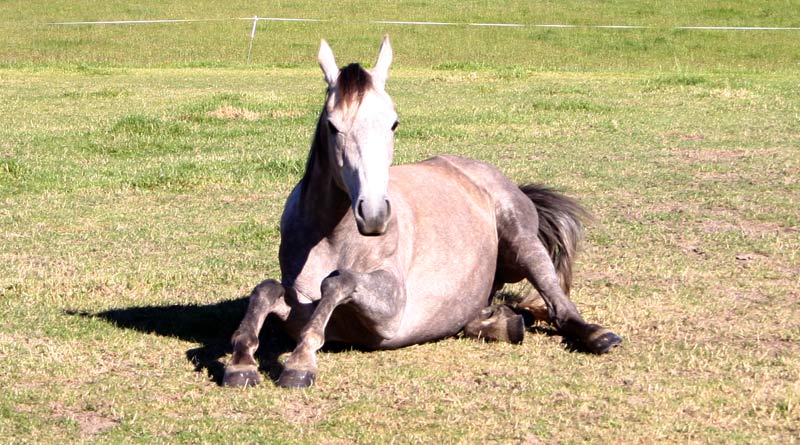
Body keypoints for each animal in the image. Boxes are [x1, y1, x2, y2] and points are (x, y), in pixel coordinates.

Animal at [223, 36, 622, 388]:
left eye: (394, 123)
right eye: (333, 126)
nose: (373, 214)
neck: (332, 239)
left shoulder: (390, 309)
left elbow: (337, 282)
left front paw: (300, 364)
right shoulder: (298, 304)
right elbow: (266, 290)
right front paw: (241, 364)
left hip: (524, 245)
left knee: (558, 303)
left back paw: (596, 334)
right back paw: (501, 324)